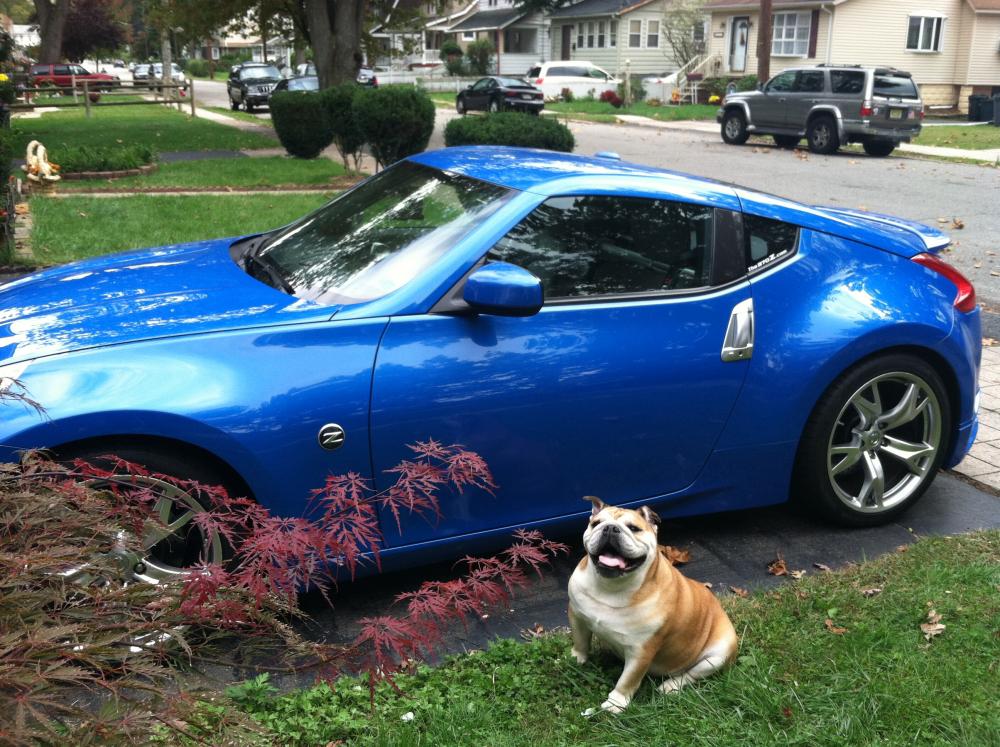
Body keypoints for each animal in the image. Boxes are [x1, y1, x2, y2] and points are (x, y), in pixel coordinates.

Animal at [568, 496, 740, 712]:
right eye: (596, 523)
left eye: (633, 528)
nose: (610, 528)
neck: (611, 587)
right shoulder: (577, 616)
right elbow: (580, 641)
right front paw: (577, 658)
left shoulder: (641, 651)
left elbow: (627, 680)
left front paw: (615, 704)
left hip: (718, 655)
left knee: (690, 674)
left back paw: (670, 686)